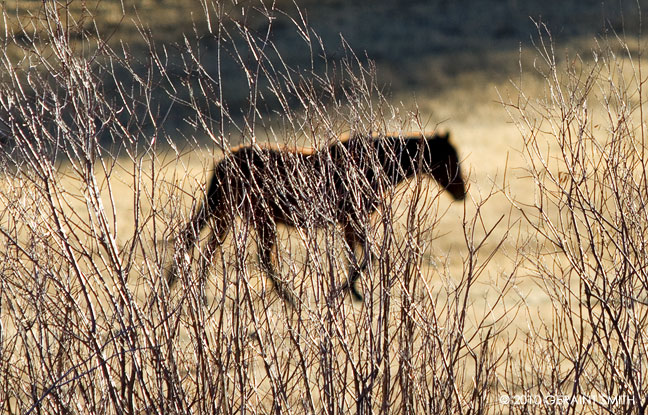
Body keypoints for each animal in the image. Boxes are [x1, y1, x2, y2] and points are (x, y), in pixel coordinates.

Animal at [167, 132, 466, 306]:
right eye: (448, 158)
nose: (462, 192)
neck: (375, 165)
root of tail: (223, 163)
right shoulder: (352, 218)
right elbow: (366, 256)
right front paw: (345, 292)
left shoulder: (349, 222)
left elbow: (359, 256)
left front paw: (352, 292)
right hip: (256, 218)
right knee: (256, 258)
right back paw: (290, 300)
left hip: (227, 213)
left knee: (203, 246)